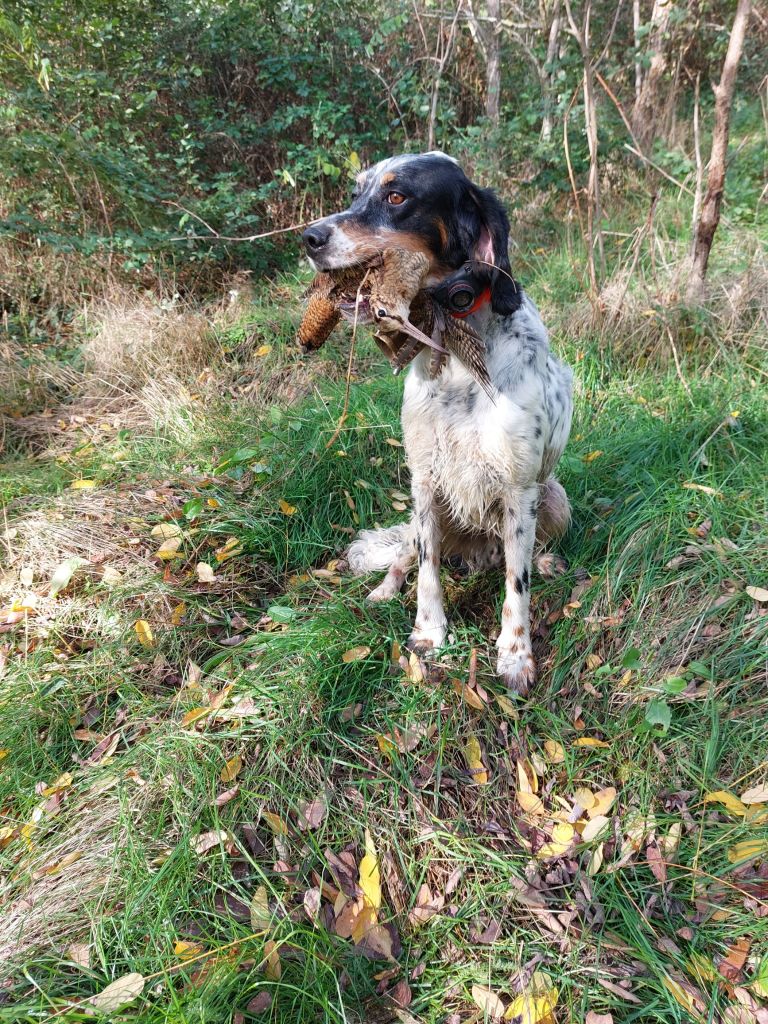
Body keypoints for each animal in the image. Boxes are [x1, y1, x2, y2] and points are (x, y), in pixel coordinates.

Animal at [301, 153, 573, 696]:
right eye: (357, 192)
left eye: (397, 197)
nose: (309, 237)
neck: (457, 362)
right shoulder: (424, 480)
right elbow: (426, 570)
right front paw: (429, 633)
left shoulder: (520, 488)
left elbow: (517, 584)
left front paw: (515, 656)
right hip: (416, 519)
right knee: (405, 556)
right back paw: (384, 591)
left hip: (556, 498)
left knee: (523, 554)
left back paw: (544, 561)